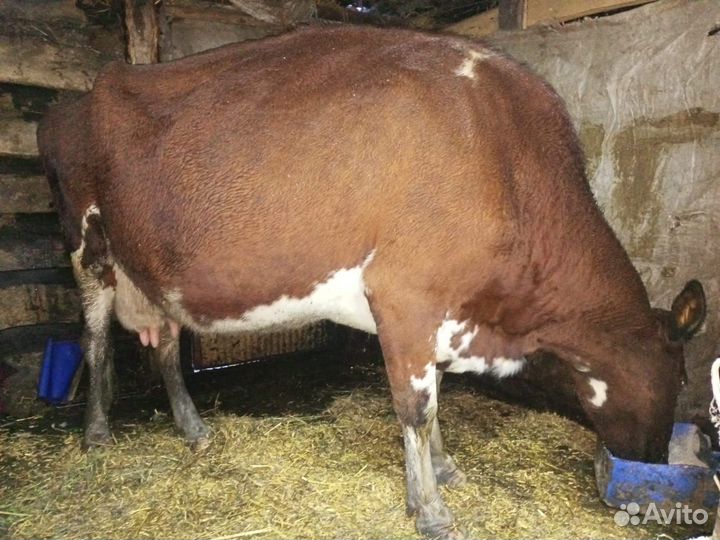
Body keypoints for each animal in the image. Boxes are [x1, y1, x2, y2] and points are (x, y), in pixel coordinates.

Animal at [37, 25, 706, 540]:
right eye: (680, 377)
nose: (652, 462)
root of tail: (82, 96)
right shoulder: (407, 296)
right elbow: (415, 407)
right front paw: (431, 509)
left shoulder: (442, 315)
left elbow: (436, 399)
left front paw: (443, 470)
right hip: (87, 243)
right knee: (96, 339)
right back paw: (96, 432)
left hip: (153, 269)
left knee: (168, 345)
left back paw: (193, 429)